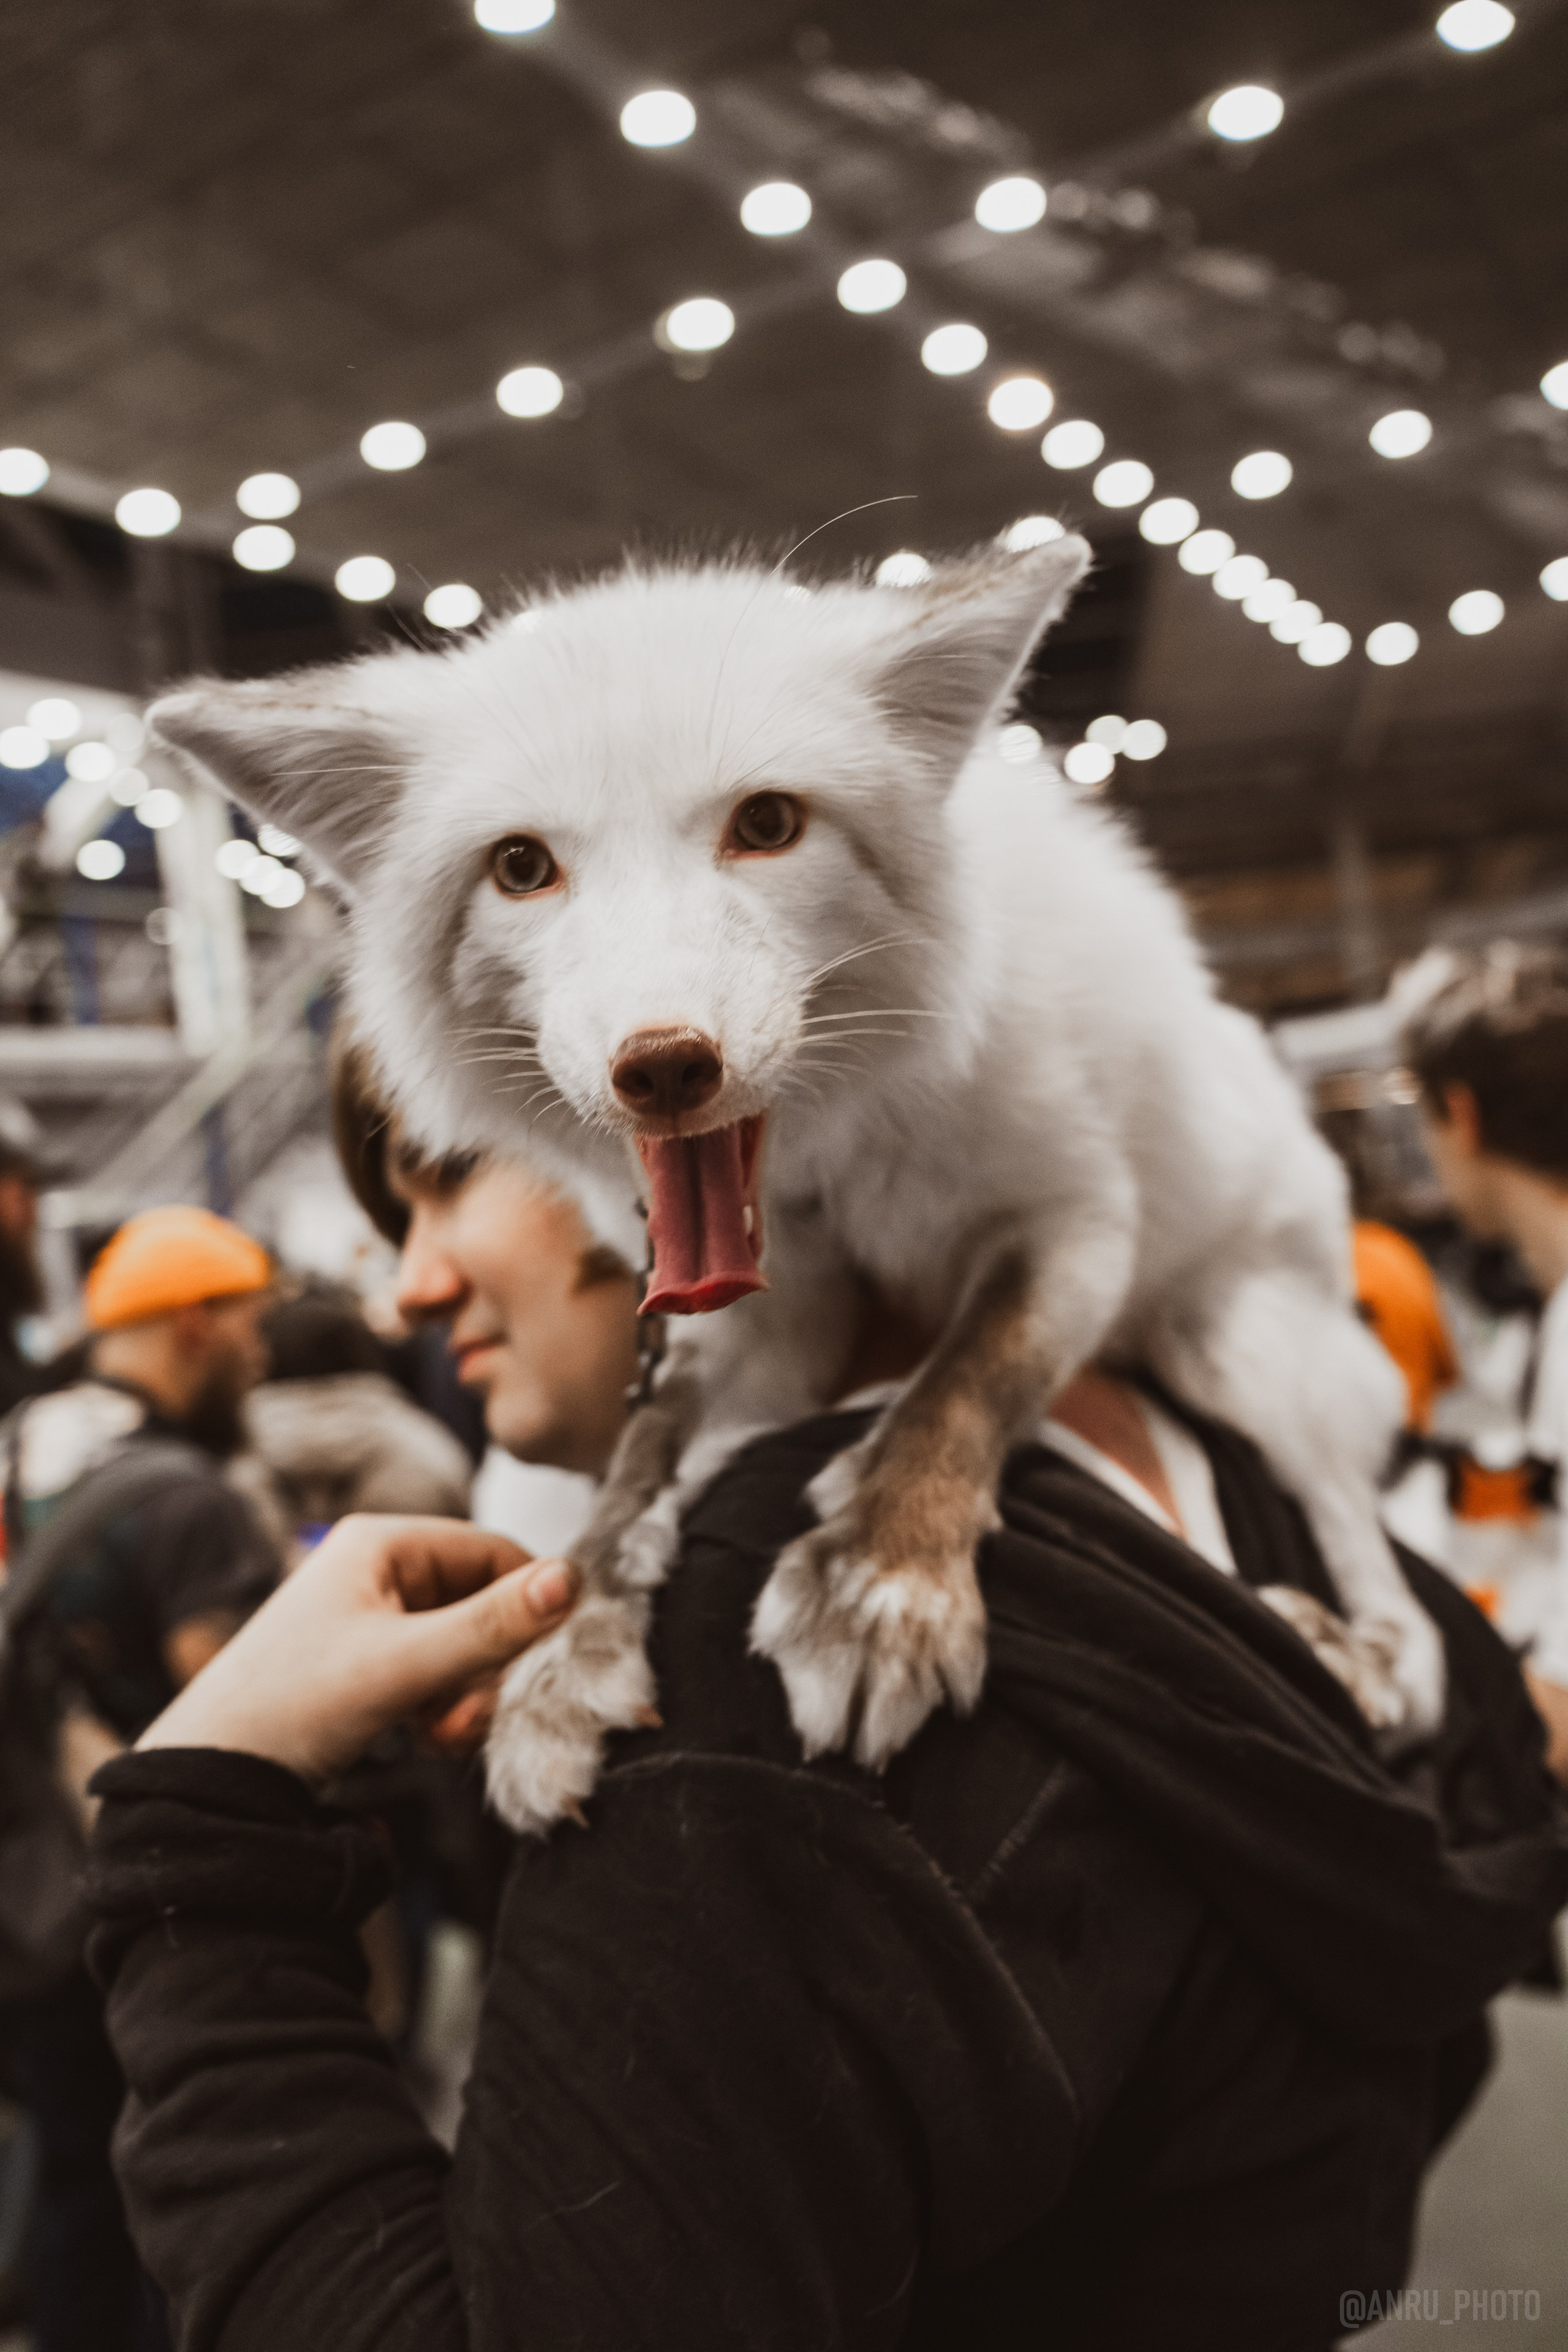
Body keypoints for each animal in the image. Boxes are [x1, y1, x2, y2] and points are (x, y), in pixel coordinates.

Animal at [151, 536, 1445, 1833]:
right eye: (521, 866)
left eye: (766, 824)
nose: (663, 1067)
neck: (832, 1175)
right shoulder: (763, 1325)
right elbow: (635, 1469)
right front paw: (567, 1653)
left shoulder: (1073, 1213)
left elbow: (968, 1378)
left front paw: (878, 1582)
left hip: (1236, 1353)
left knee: (1392, 1592)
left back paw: (1364, 1656)